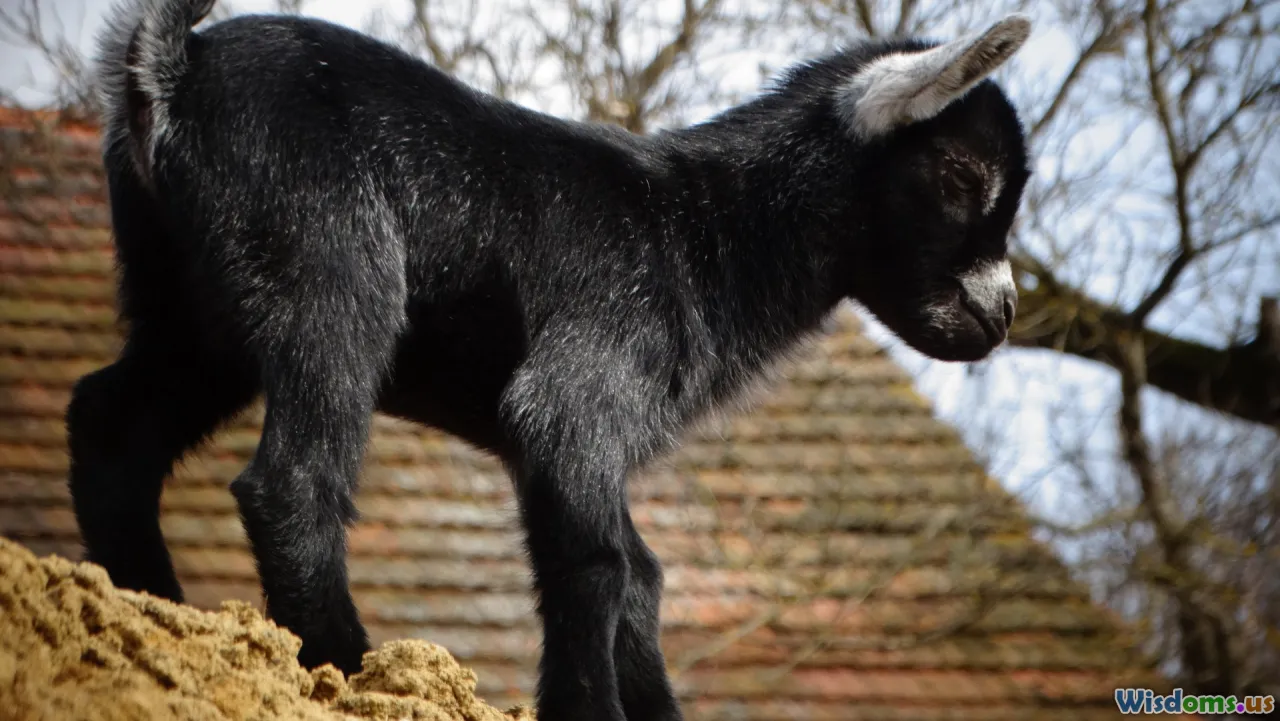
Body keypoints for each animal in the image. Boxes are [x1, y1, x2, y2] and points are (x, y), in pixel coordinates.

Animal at [72, 1, 1032, 719]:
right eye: (960, 176)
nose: (1003, 314)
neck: (703, 230)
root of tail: (175, 68)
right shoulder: (576, 394)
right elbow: (604, 563)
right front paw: (586, 709)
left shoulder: (576, 444)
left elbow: (637, 572)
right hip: (328, 266)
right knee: (291, 477)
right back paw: (346, 664)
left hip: (191, 306)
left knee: (112, 423)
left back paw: (149, 608)